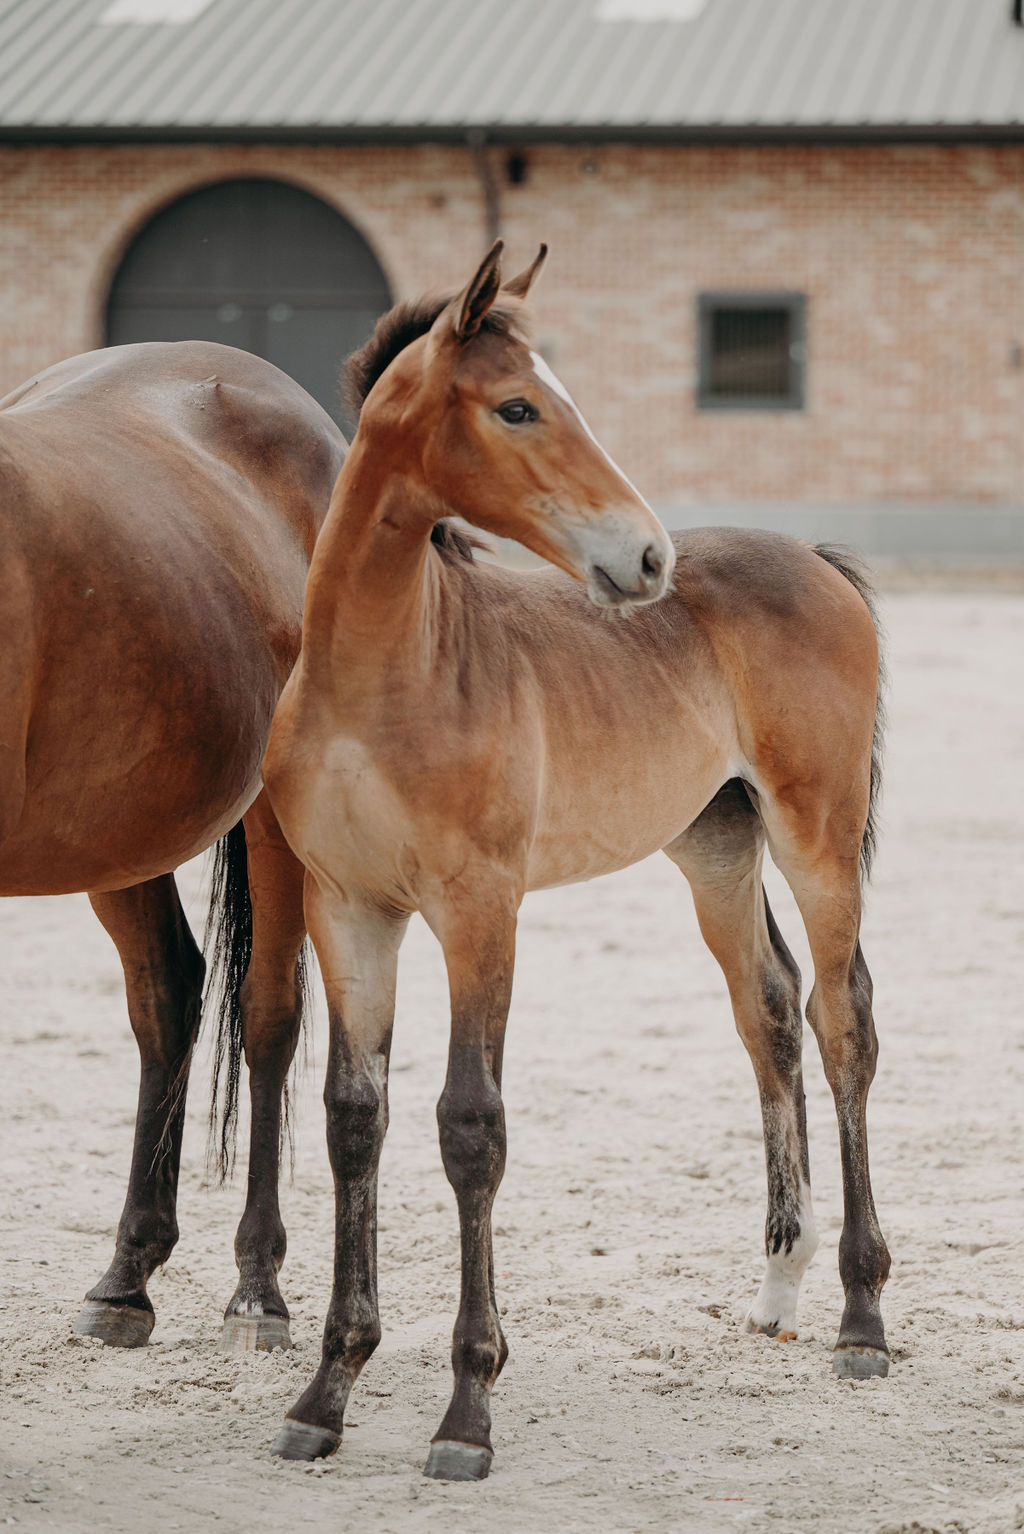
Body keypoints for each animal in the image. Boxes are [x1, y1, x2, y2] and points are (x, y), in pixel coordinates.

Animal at [0, 339, 345, 1353]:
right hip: (119, 834)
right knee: (168, 997)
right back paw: (126, 1280)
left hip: (273, 823)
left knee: (265, 1016)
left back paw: (256, 1291)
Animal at [258, 241, 890, 1480]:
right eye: (517, 405)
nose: (645, 556)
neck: (385, 674)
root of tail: (814, 559)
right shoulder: (347, 908)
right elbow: (354, 1119)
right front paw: (324, 1393)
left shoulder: (479, 909)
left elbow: (471, 1127)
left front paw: (467, 1410)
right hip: (716, 847)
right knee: (770, 1009)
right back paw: (778, 1287)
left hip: (817, 839)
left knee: (844, 1024)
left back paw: (859, 1316)